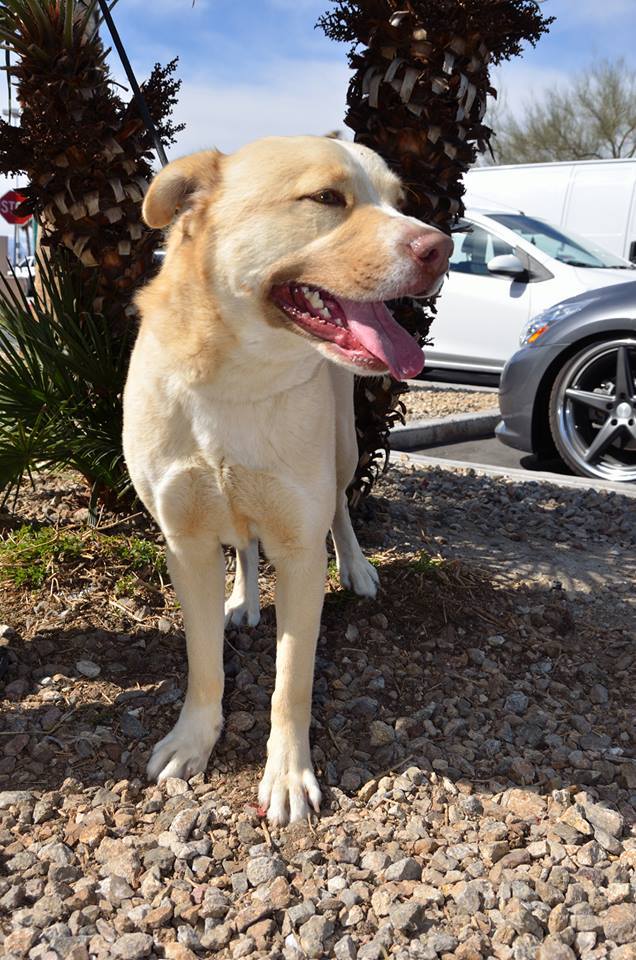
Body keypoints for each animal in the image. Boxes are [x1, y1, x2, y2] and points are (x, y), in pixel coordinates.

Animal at [123, 137, 452, 824]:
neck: (236, 378)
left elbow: (291, 682)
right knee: (245, 544)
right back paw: (243, 600)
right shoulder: (185, 545)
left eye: (397, 200)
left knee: (342, 509)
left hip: (346, 446)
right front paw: (193, 740)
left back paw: (355, 568)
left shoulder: (300, 552)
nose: (442, 247)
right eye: (326, 197)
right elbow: (203, 665)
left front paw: (287, 776)